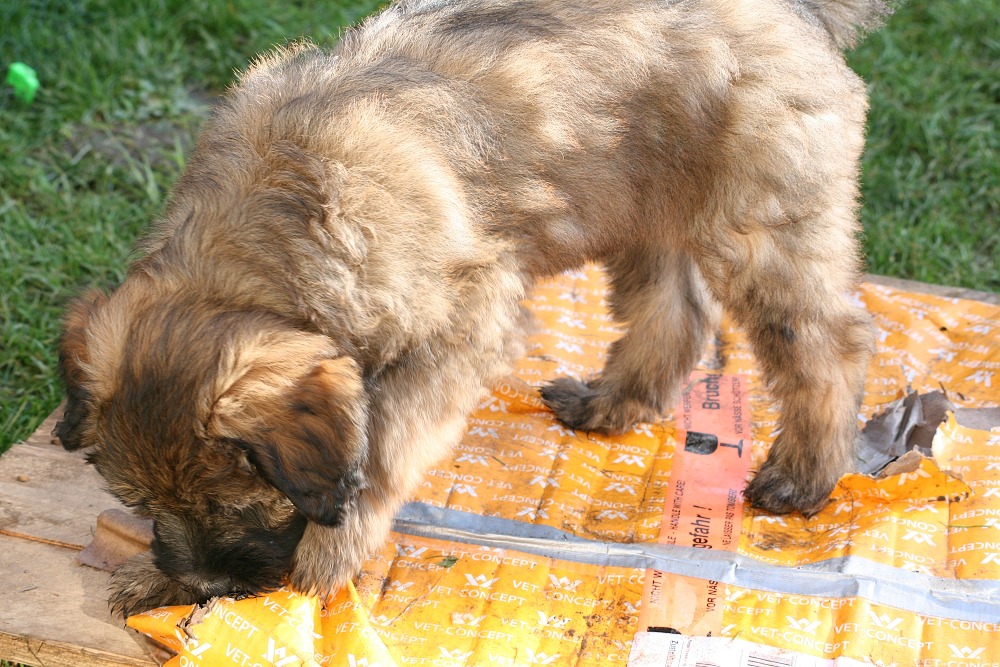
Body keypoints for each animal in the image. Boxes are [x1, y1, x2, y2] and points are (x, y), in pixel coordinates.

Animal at [56, 0, 884, 616]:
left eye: (233, 503)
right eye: (141, 501)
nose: (208, 585)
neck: (263, 237)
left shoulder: (463, 319)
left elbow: (382, 444)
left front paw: (325, 560)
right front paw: (160, 579)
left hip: (761, 224)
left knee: (831, 341)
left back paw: (804, 474)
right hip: (641, 203)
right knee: (679, 313)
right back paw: (613, 403)